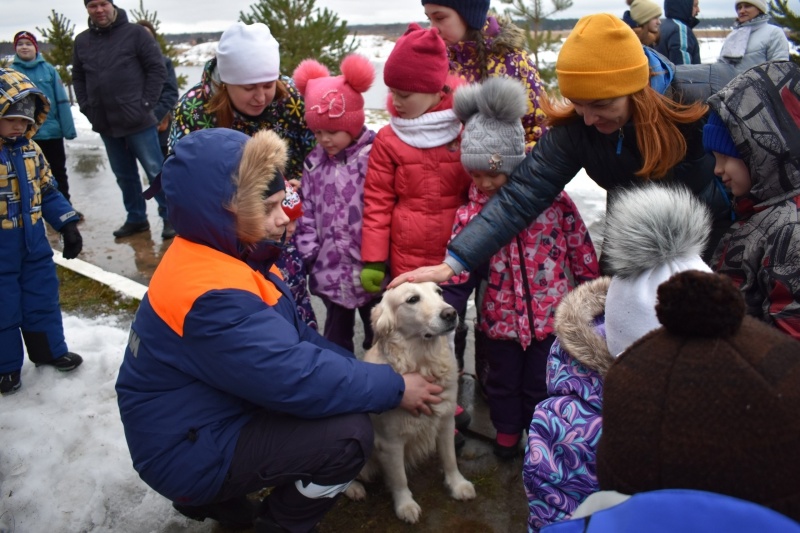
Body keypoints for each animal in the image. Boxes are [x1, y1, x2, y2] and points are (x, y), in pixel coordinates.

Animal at [344, 280, 476, 520]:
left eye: (439, 292)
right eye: (412, 299)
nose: (451, 313)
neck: (422, 363)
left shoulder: (445, 422)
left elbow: (450, 459)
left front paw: (457, 484)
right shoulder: (390, 442)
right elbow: (399, 478)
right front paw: (405, 505)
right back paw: (354, 488)